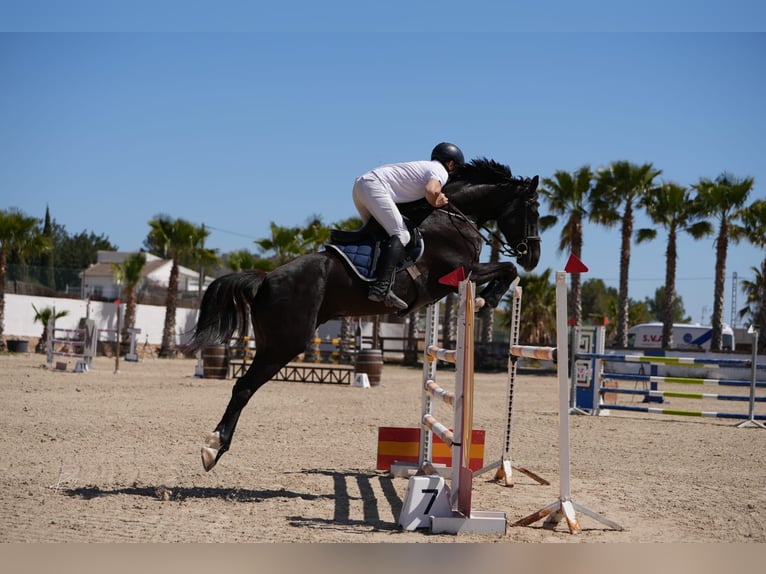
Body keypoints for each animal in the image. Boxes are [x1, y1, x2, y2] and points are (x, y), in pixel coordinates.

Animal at [189, 158, 544, 472]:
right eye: (533, 210)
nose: (534, 257)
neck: (455, 216)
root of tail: (265, 279)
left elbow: (507, 270)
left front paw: (488, 298)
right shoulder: (462, 271)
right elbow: (506, 268)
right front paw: (487, 299)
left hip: (273, 342)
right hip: (284, 344)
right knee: (244, 387)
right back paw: (212, 447)